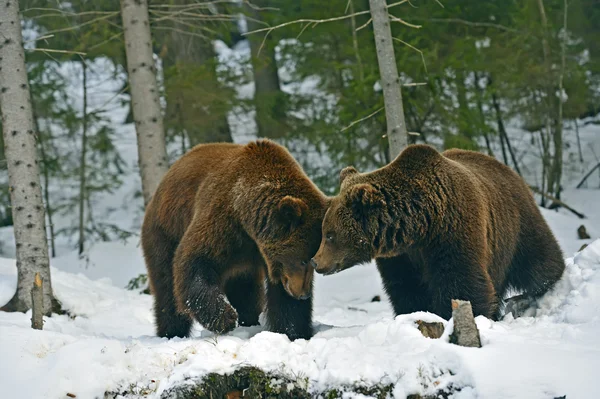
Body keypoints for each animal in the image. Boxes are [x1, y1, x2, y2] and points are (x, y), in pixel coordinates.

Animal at [312, 145, 564, 320]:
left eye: (330, 234)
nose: (316, 261)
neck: (419, 225)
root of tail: (506, 168)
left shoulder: (452, 232)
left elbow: (461, 283)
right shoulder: (401, 257)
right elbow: (407, 289)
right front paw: (416, 314)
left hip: (515, 222)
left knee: (538, 260)